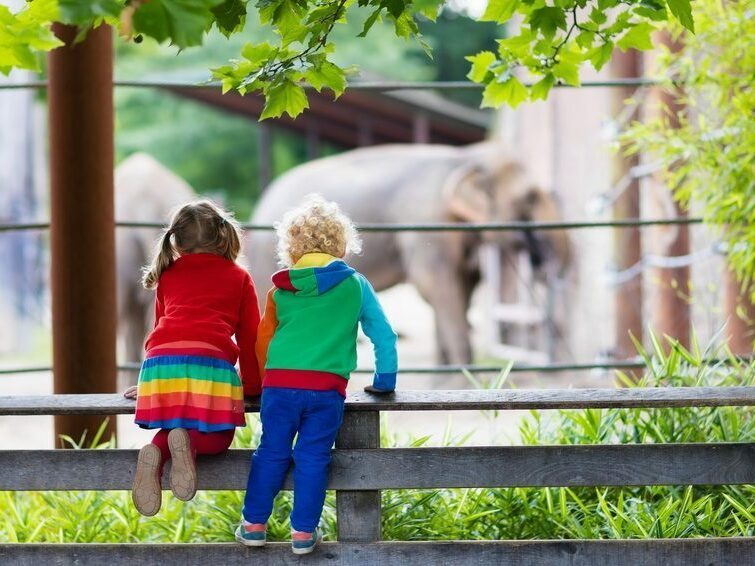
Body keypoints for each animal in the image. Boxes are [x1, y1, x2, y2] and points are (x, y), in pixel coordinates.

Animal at [248, 142, 572, 368]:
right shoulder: (427, 222)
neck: (465, 157)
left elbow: (461, 286)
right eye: (530, 197)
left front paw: (450, 371)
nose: (544, 264)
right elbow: (435, 285)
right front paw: (465, 372)